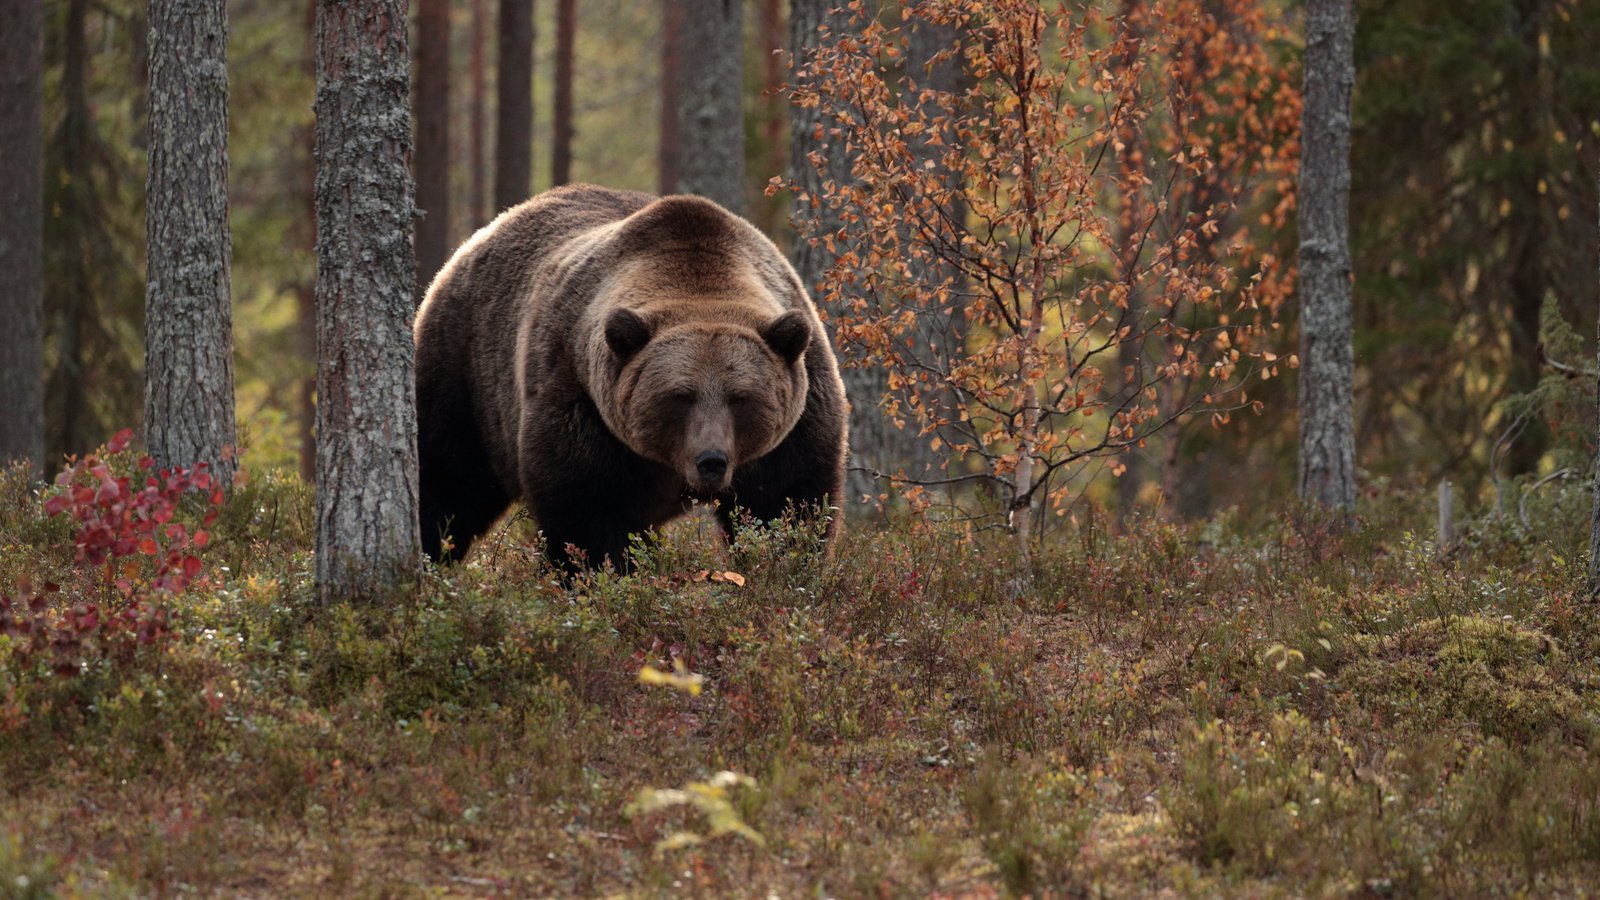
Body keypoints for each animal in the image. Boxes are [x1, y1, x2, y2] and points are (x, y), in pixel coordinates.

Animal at [412, 184, 851, 566]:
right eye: (679, 395)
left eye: (741, 397)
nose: (711, 460)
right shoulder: (579, 396)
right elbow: (588, 511)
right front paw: (597, 574)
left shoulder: (799, 414)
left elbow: (785, 504)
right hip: (468, 373)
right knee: (447, 478)